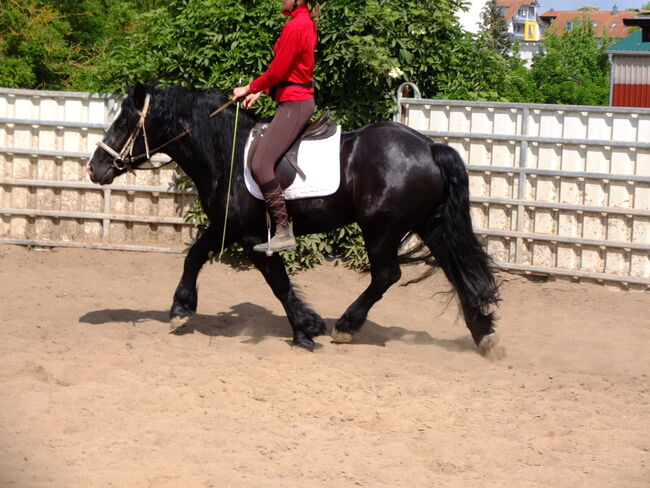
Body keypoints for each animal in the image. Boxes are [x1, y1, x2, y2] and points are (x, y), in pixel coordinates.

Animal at [86, 84, 502, 356]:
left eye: (122, 124)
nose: (94, 168)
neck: (226, 153)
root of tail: (429, 147)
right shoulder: (227, 226)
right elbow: (194, 256)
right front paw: (181, 308)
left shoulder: (253, 235)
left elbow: (278, 282)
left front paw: (306, 329)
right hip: (429, 225)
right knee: (456, 271)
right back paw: (482, 333)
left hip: (382, 229)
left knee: (387, 275)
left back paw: (347, 326)